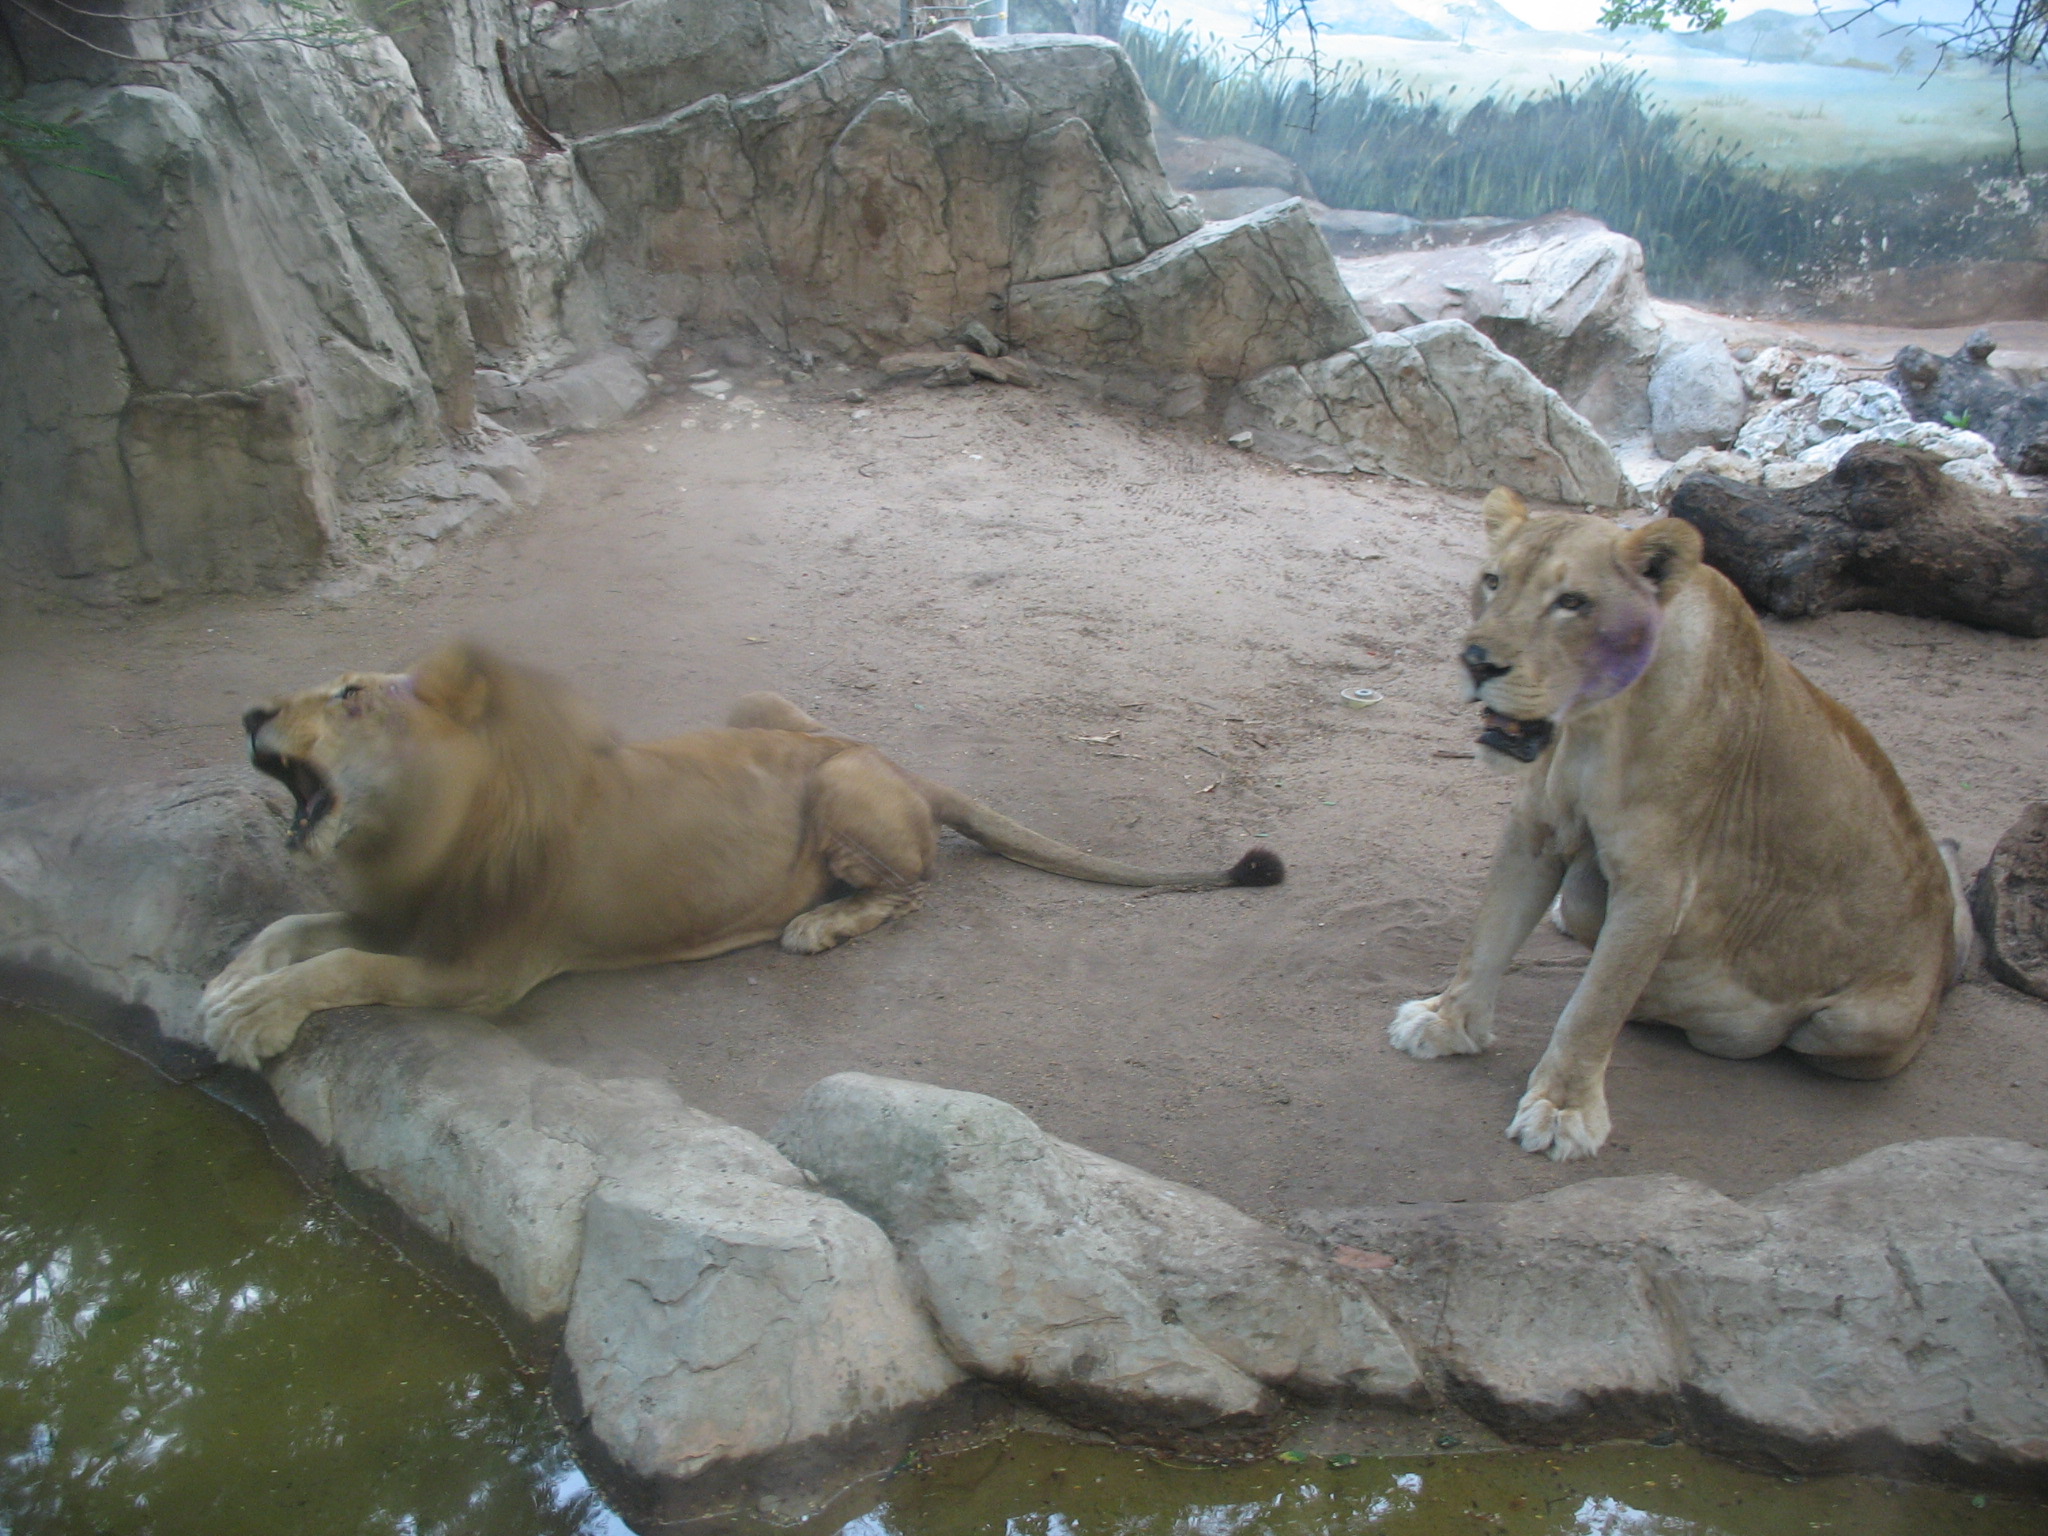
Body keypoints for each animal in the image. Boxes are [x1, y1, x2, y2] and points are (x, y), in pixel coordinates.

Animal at [195, 638, 1277, 1073]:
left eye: (350, 696)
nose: (247, 713)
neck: (411, 831)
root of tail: (904, 763)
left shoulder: (483, 972)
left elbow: (344, 963)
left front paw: (249, 1016)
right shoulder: (402, 913)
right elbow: (300, 923)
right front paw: (230, 981)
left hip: (839, 790)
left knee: (913, 891)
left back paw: (816, 924)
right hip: (759, 704)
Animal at [1392, 493, 1966, 1163]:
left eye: (1572, 602)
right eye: (1493, 581)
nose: (1477, 662)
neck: (1594, 725)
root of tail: (1944, 951)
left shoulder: (1658, 882)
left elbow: (1595, 1004)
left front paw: (1563, 1108)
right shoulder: (1534, 833)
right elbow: (1486, 937)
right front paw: (1446, 1022)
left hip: (1858, 1025)